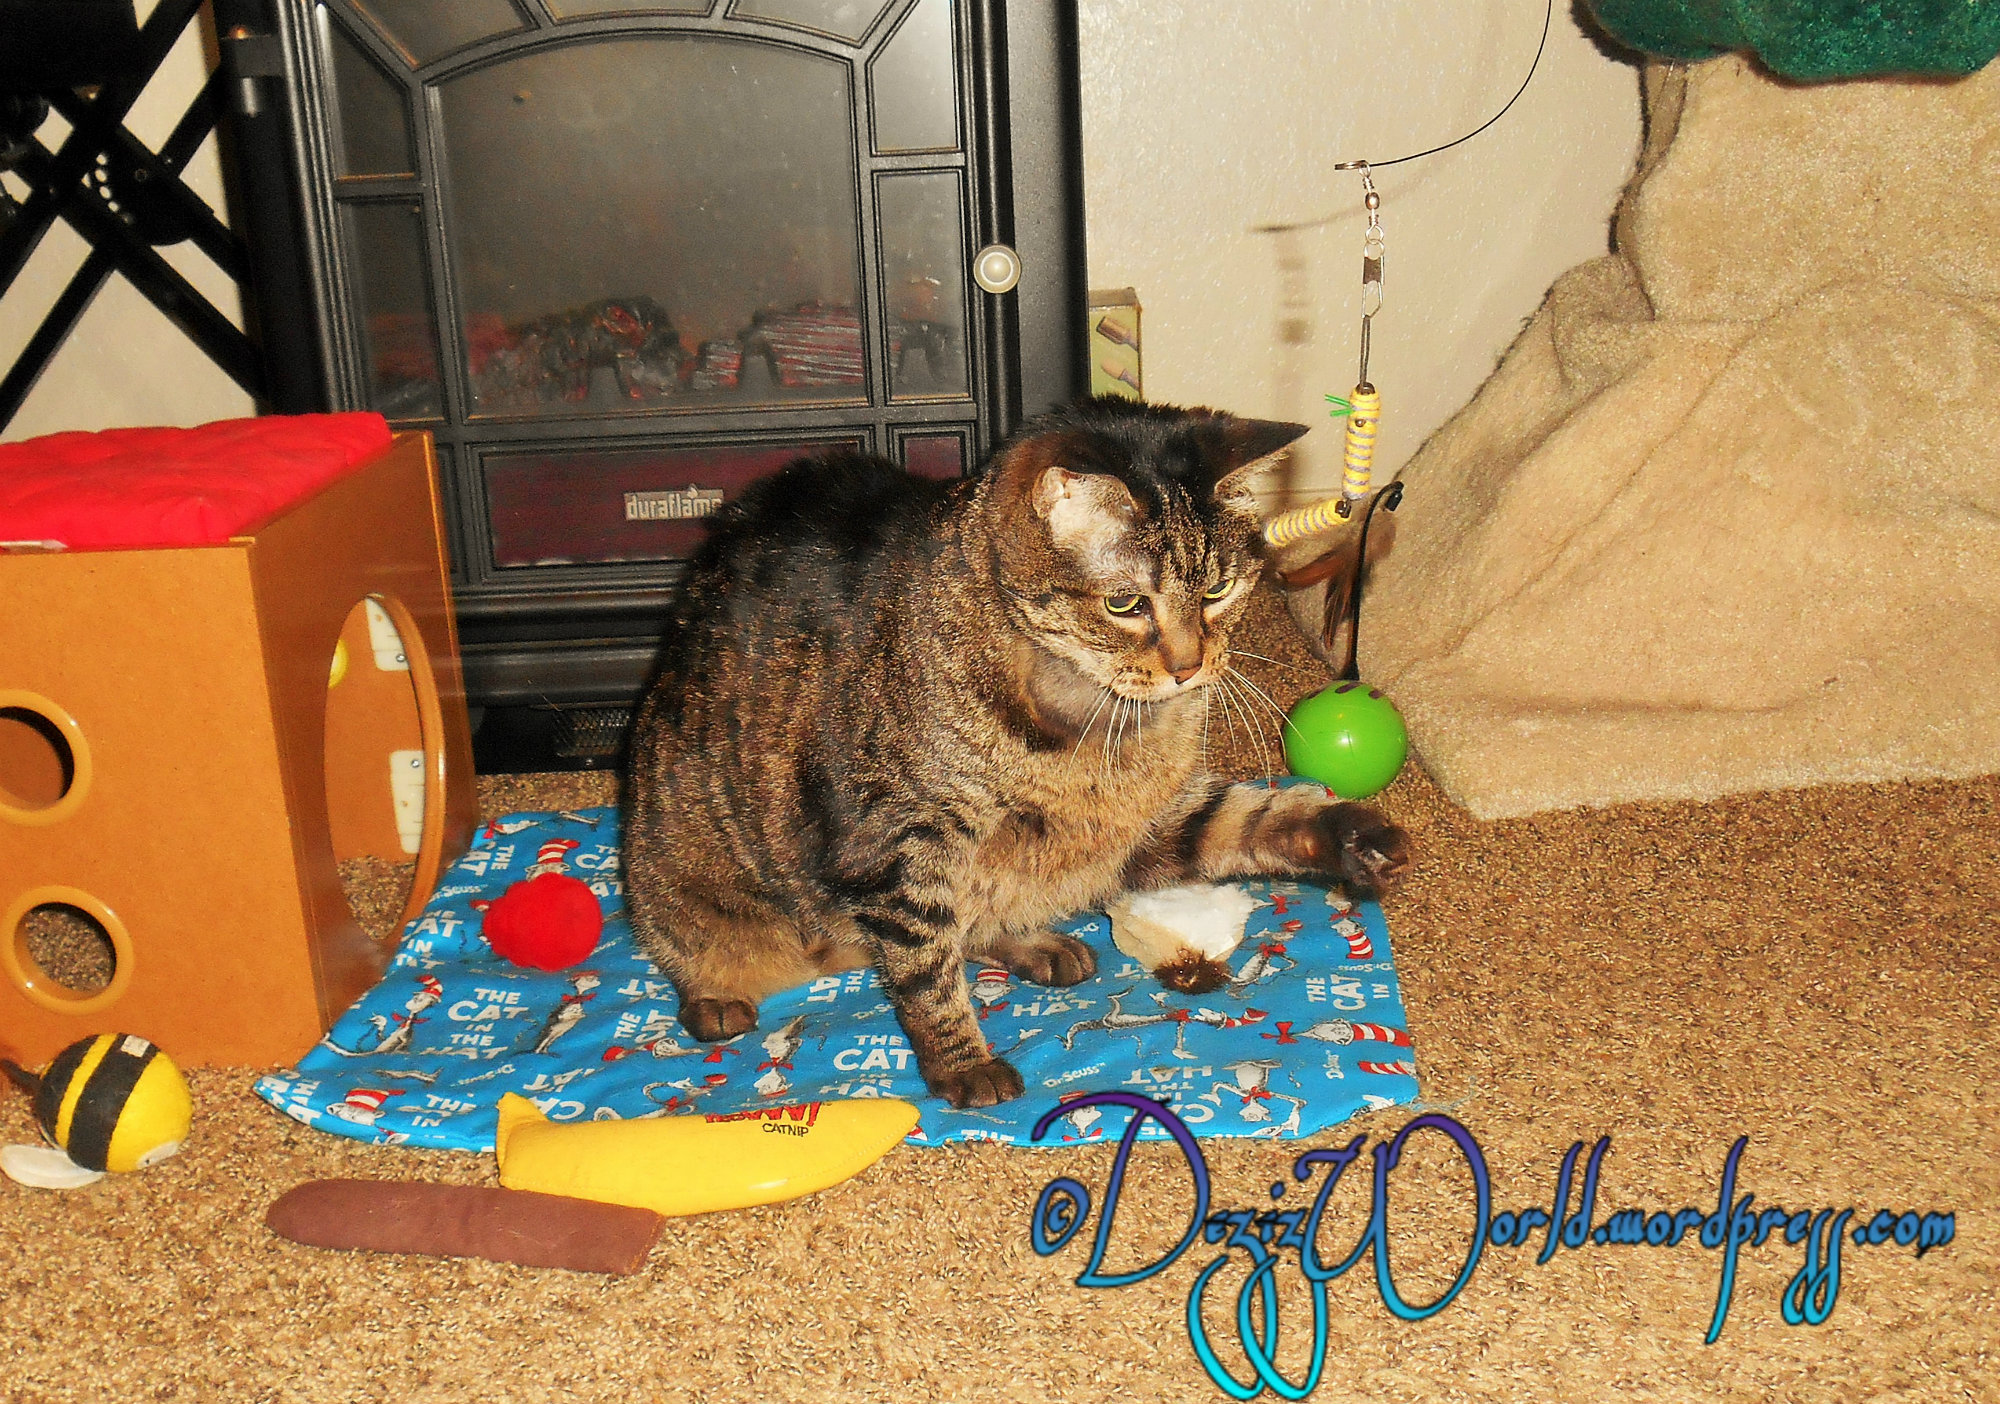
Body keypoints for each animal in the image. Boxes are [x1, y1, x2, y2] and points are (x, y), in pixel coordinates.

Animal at [623, 396, 1411, 1109]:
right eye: (1125, 604)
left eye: (1218, 588)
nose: (1191, 668)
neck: (1087, 720)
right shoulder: (898, 844)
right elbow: (925, 971)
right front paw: (962, 1062)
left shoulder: (1152, 821)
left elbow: (1257, 818)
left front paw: (1350, 834)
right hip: (677, 868)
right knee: (695, 944)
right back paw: (714, 996)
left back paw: (1034, 942)